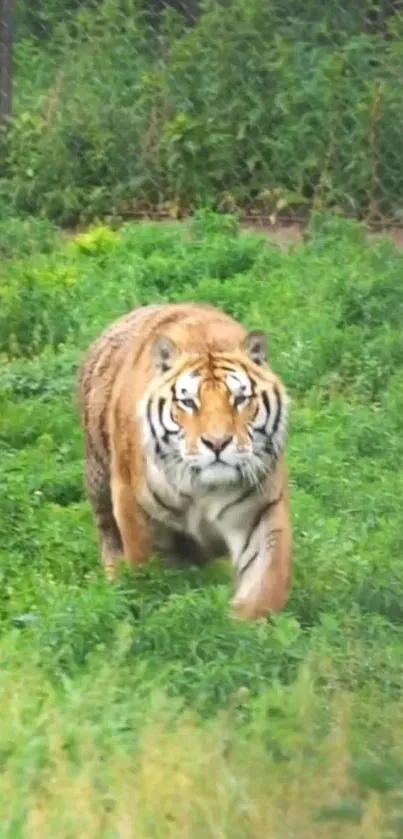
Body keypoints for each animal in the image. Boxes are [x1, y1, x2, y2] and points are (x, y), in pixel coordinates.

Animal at [77, 306, 292, 620]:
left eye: (240, 399)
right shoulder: (132, 502)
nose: (217, 443)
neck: (205, 489)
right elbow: (147, 569)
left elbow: (266, 579)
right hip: (99, 482)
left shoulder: (262, 509)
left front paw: (243, 624)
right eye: (189, 402)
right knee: (109, 538)